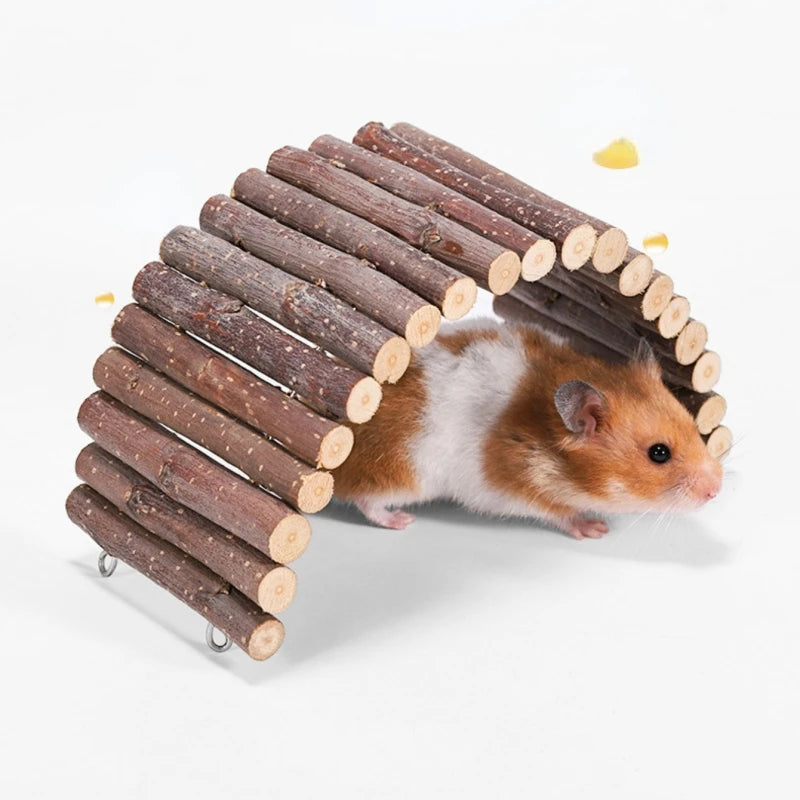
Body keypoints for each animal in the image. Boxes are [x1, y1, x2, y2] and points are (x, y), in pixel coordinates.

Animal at [332, 319, 722, 539]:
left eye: (693, 425)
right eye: (659, 453)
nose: (717, 491)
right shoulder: (513, 489)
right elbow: (559, 512)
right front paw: (597, 530)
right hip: (401, 475)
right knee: (365, 500)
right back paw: (401, 521)